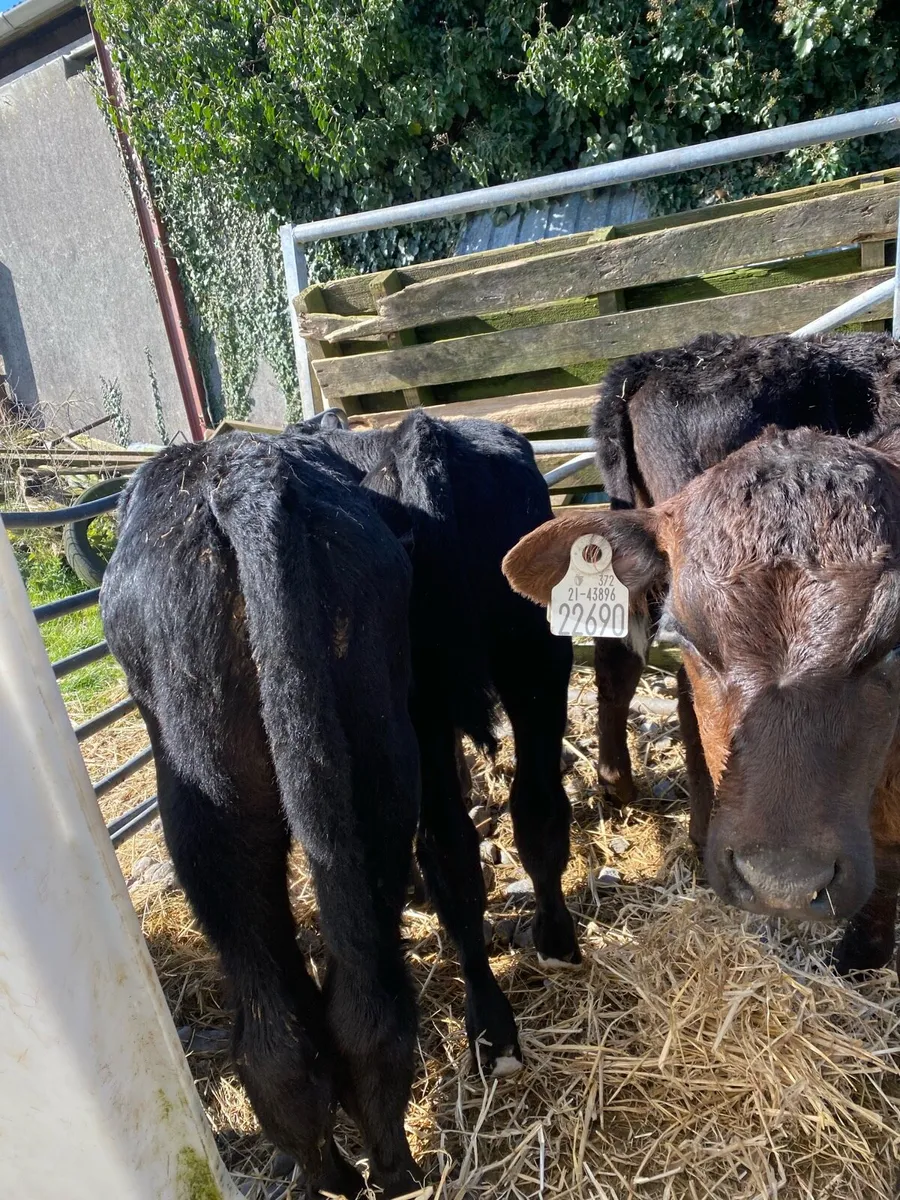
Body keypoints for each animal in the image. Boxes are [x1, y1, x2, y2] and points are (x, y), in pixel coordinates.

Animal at [101, 409, 574, 1197]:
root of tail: (240, 477)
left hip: (223, 781)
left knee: (289, 1034)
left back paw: (351, 1173)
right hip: (469, 693)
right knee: (498, 834)